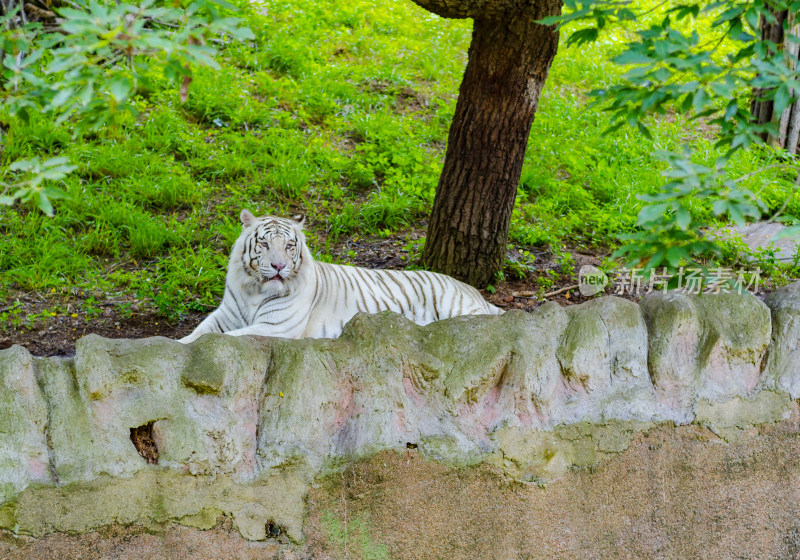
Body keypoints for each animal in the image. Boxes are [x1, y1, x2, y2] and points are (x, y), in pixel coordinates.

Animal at [180, 210, 500, 342]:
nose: (279, 267)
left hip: (456, 309)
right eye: (264, 244)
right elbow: (198, 335)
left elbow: (222, 338)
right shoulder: (225, 315)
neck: (254, 290)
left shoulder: (276, 327)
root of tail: (473, 289)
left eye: (289, 246)